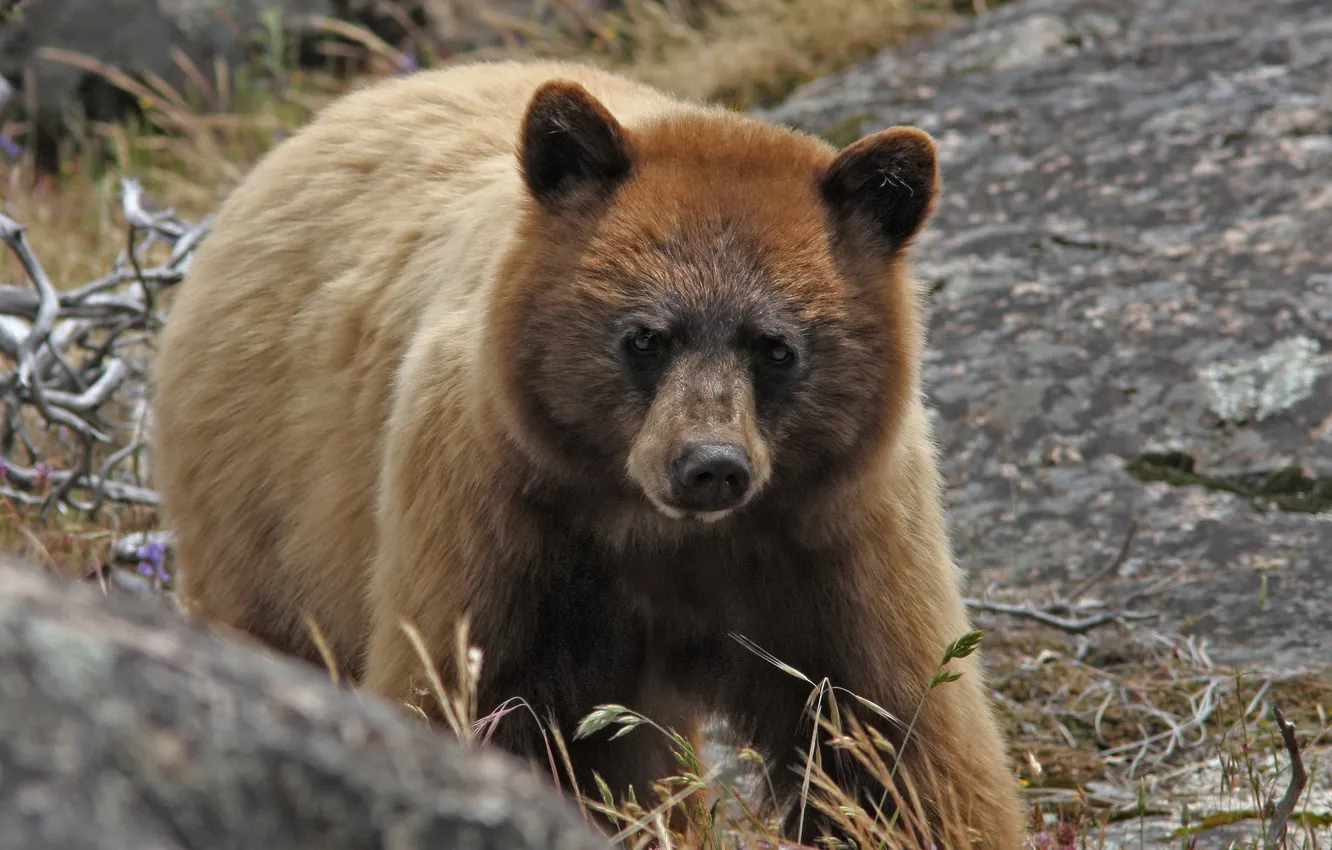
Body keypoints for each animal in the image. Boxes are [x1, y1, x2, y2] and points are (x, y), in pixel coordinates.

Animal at [151, 59, 1026, 848]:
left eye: (777, 347)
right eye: (645, 335)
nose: (709, 464)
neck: (669, 543)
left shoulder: (838, 540)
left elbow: (896, 739)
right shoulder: (497, 519)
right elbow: (462, 693)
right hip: (261, 497)